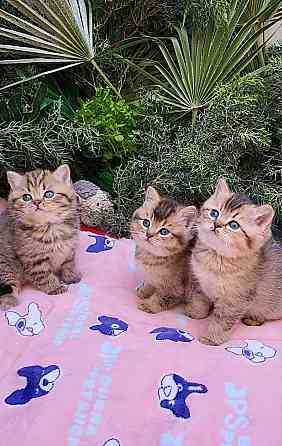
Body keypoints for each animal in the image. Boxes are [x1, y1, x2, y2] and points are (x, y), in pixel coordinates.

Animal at [0, 165, 81, 310]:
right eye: (26, 197)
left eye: (49, 194)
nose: (37, 202)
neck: (50, 228)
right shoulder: (34, 260)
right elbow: (44, 276)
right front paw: (55, 287)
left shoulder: (70, 249)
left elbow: (68, 263)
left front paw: (70, 276)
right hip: (5, 265)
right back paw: (9, 301)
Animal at [186, 177, 282, 344]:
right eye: (214, 213)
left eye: (233, 225)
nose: (216, 224)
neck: (215, 257)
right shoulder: (199, 282)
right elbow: (199, 300)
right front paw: (196, 313)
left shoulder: (235, 301)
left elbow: (222, 321)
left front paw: (211, 338)